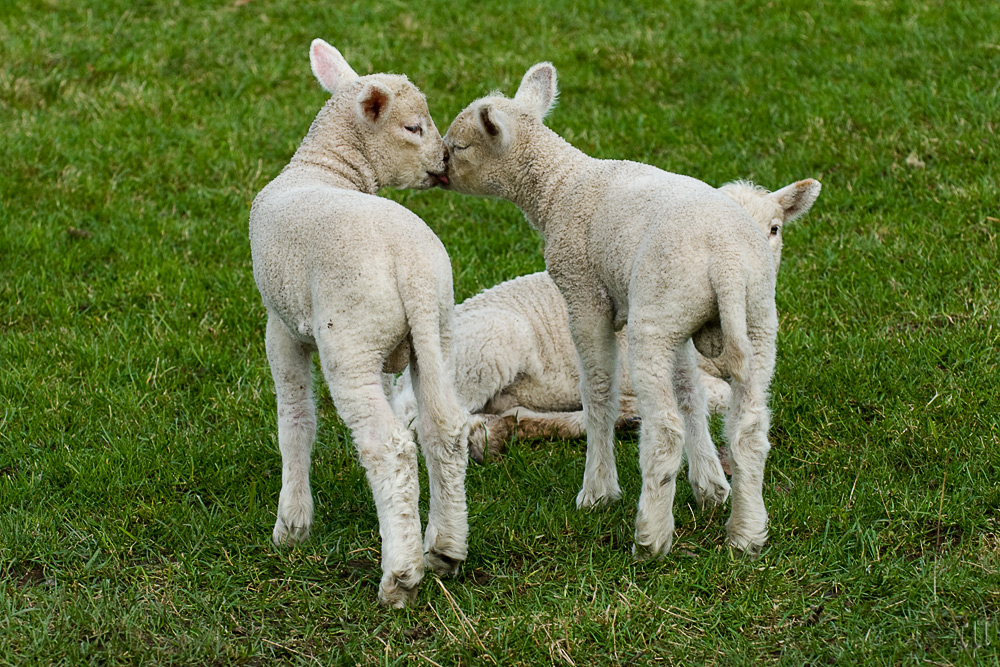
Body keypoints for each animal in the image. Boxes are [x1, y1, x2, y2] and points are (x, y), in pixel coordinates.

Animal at [248, 39, 470, 608]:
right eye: (413, 127)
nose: (443, 161)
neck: (323, 167)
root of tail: (410, 267)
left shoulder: (281, 328)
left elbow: (296, 422)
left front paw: (292, 524)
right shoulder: (387, 357)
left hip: (349, 339)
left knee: (389, 446)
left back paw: (401, 575)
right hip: (435, 330)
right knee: (443, 428)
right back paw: (444, 548)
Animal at [442, 62, 792, 556]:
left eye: (460, 146)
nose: (438, 169)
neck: (560, 187)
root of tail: (723, 260)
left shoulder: (583, 294)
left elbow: (599, 391)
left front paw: (598, 491)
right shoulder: (677, 325)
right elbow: (690, 391)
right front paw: (709, 486)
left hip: (654, 322)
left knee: (663, 430)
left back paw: (651, 536)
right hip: (747, 317)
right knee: (750, 429)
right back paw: (746, 534)